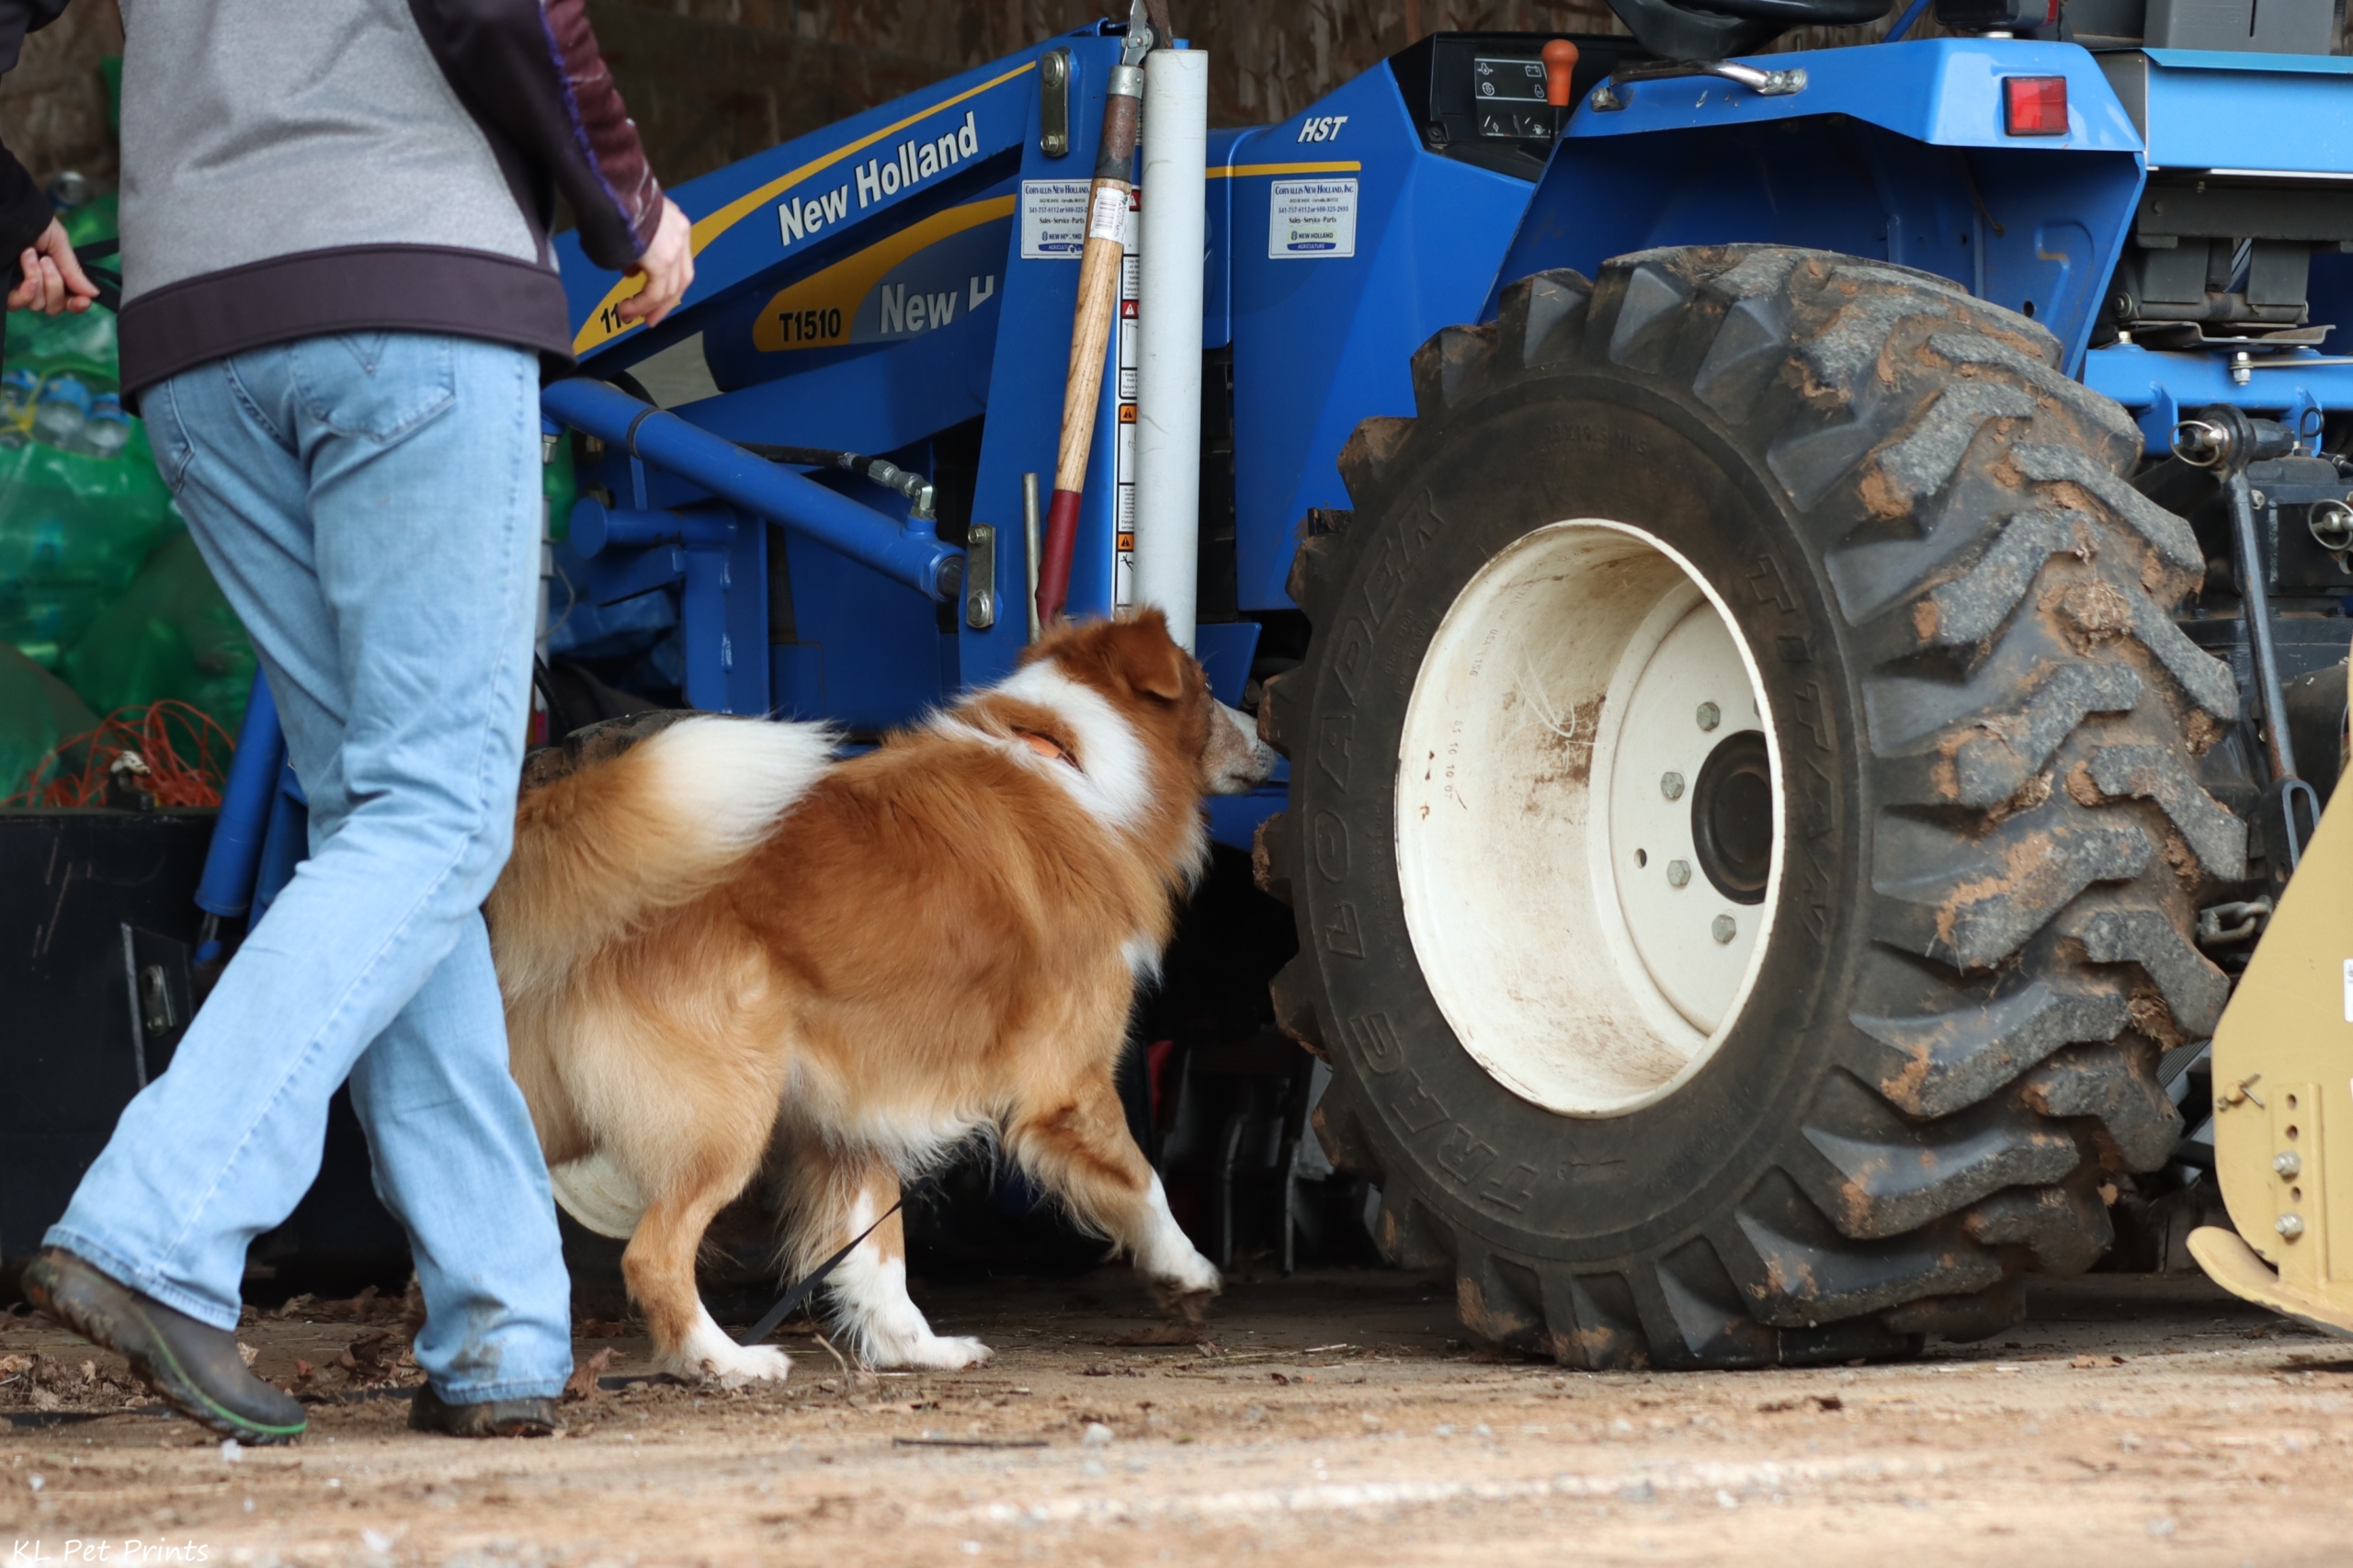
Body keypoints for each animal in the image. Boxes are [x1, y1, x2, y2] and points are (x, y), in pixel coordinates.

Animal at [484, 612, 1279, 1384]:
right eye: (1209, 687)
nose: (1270, 730)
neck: (1075, 762)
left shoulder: (856, 1112)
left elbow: (876, 1254)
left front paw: (913, 1349)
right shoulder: (1069, 1081)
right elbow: (1143, 1180)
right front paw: (1185, 1269)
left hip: (548, 1100)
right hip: (723, 1114)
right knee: (652, 1254)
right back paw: (722, 1360)